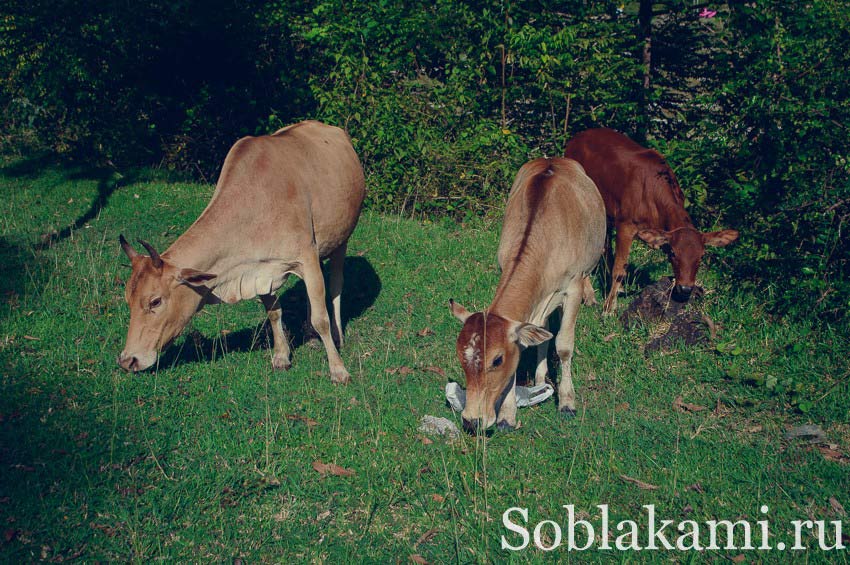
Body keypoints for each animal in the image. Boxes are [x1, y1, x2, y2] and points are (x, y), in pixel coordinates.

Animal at [115, 120, 362, 384]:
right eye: (128, 299)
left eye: (155, 301)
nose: (128, 360)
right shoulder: (261, 270)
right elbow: (274, 312)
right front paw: (281, 356)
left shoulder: (305, 257)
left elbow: (321, 319)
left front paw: (338, 370)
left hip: (342, 239)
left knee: (335, 287)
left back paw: (337, 336)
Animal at [450, 156, 604, 430]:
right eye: (460, 357)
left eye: (497, 360)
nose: (471, 421)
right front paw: (507, 415)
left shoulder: (573, 287)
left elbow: (564, 345)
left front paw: (567, 402)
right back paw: (540, 380)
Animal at [564, 128, 736, 312]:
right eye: (673, 253)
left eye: (702, 256)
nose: (685, 288)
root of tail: (577, 137)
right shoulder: (625, 225)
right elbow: (619, 270)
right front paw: (609, 307)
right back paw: (589, 295)